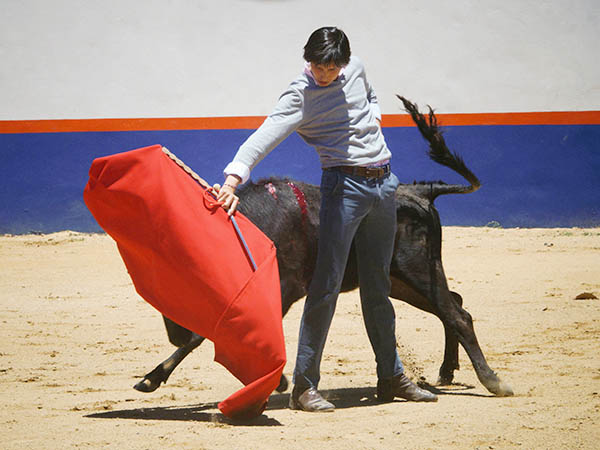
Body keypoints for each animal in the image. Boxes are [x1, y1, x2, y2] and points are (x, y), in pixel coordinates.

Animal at [132, 97, 514, 399]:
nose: (174, 334)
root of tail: (419, 191)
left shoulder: (285, 288)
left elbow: (208, 334)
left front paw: (152, 378)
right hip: (401, 280)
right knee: (455, 307)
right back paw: (446, 371)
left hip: (418, 268)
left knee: (457, 314)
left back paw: (492, 381)